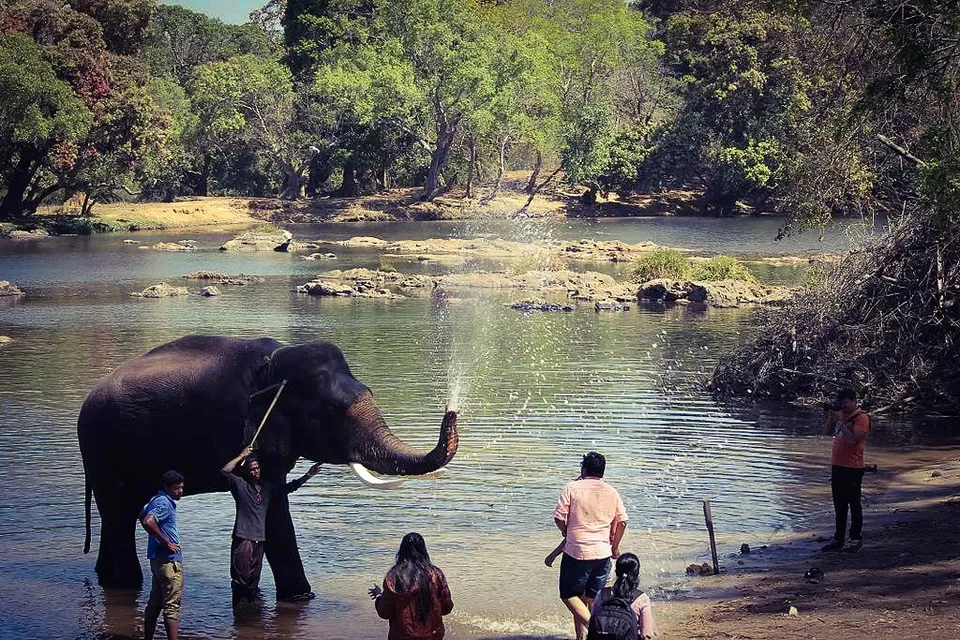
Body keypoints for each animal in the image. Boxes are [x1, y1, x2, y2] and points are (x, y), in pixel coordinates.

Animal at [78, 335, 458, 598]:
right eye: (331, 411)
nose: (450, 410)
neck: (274, 362)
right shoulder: (235, 424)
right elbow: (272, 511)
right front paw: (300, 596)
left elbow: (276, 495)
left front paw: (300, 597)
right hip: (101, 448)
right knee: (118, 514)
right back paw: (127, 584)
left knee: (119, 515)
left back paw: (106, 577)